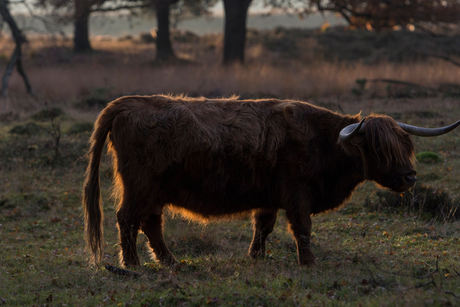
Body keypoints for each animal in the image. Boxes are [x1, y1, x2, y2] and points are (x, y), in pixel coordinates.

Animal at [83, 96, 460, 268]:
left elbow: (263, 227)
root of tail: (129, 103)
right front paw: (308, 262)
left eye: (406, 146)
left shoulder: (268, 197)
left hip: (155, 190)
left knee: (150, 222)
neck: (325, 141)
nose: (410, 176)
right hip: (140, 186)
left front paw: (256, 257)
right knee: (127, 219)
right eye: (379, 149)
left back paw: (170, 261)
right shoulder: (297, 194)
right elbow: (302, 229)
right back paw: (132, 265)